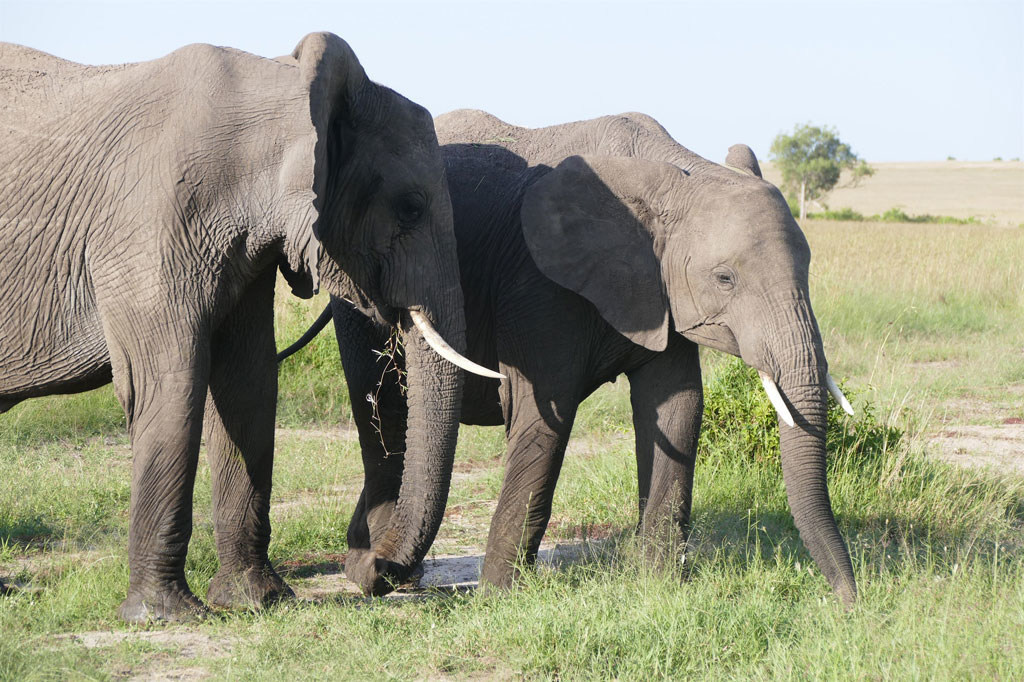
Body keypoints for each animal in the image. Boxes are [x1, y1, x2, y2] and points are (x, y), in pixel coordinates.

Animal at [0, 35, 497, 622]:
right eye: (411, 207)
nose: (374, 571)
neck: (284, 86)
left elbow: (248, 383)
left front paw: (257, 600)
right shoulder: (145, 226)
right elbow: (170, 384)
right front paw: (166, 616)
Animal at [278, 109, 856, 602]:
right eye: (725, 278)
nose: (850, 602)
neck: (677, 168)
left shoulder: (659, 290)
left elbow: (679, 406)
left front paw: (659, 586)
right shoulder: (540, 283)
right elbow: (543, 414)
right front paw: (499, 597)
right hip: (353, 282)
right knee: (379, 410)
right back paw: (371, 565)